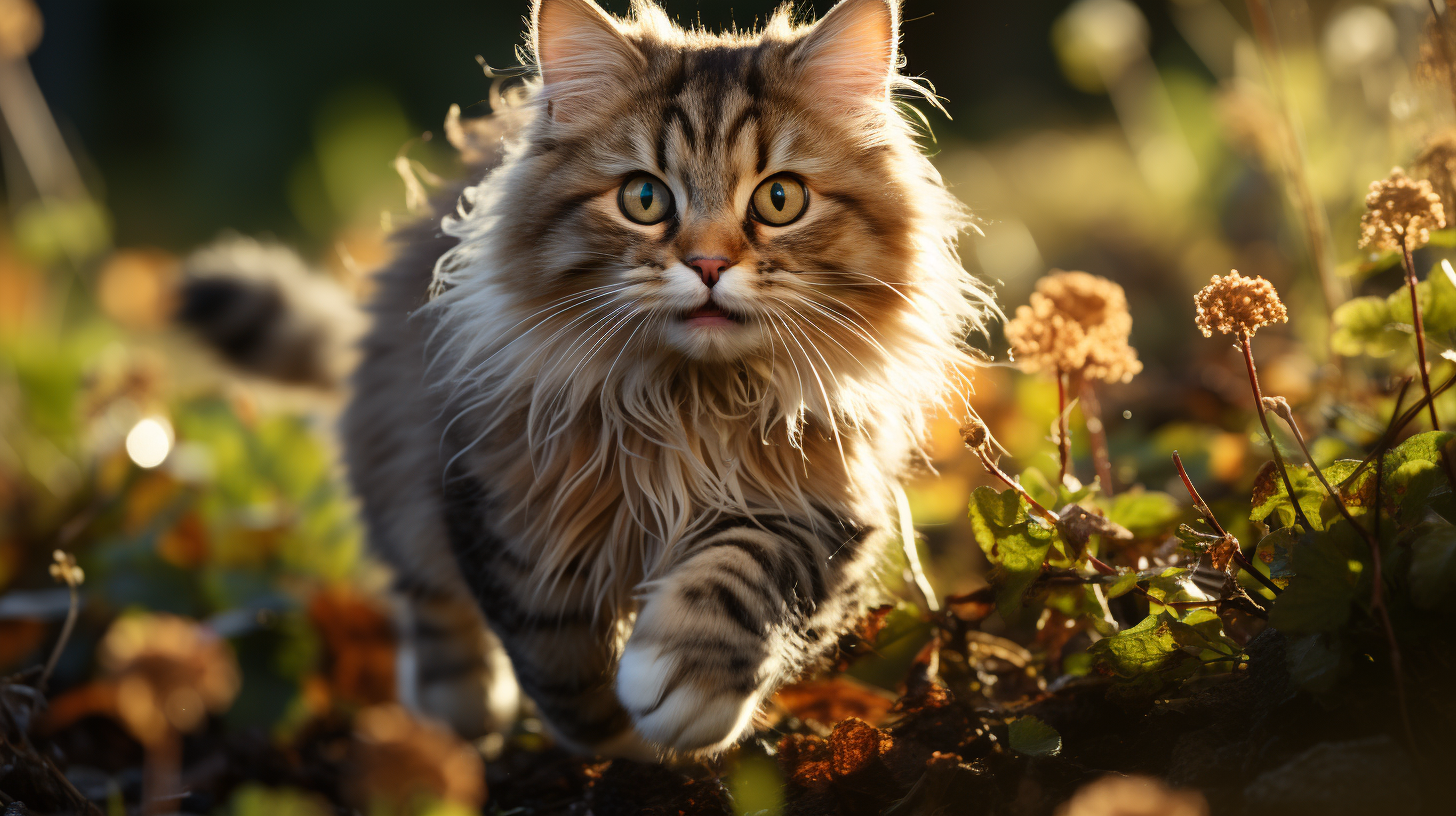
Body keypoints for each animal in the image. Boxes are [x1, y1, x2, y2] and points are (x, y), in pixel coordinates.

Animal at [182, 0, 990, 757]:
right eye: (645, 199)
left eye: (779, 199)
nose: (708, 264)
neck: (687, 403)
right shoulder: (499, 505)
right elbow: (559, 659)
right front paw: (620, 746)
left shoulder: (826, 504)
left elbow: (743, 573)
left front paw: (685, 684)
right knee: (426, 592)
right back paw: (457, 711)